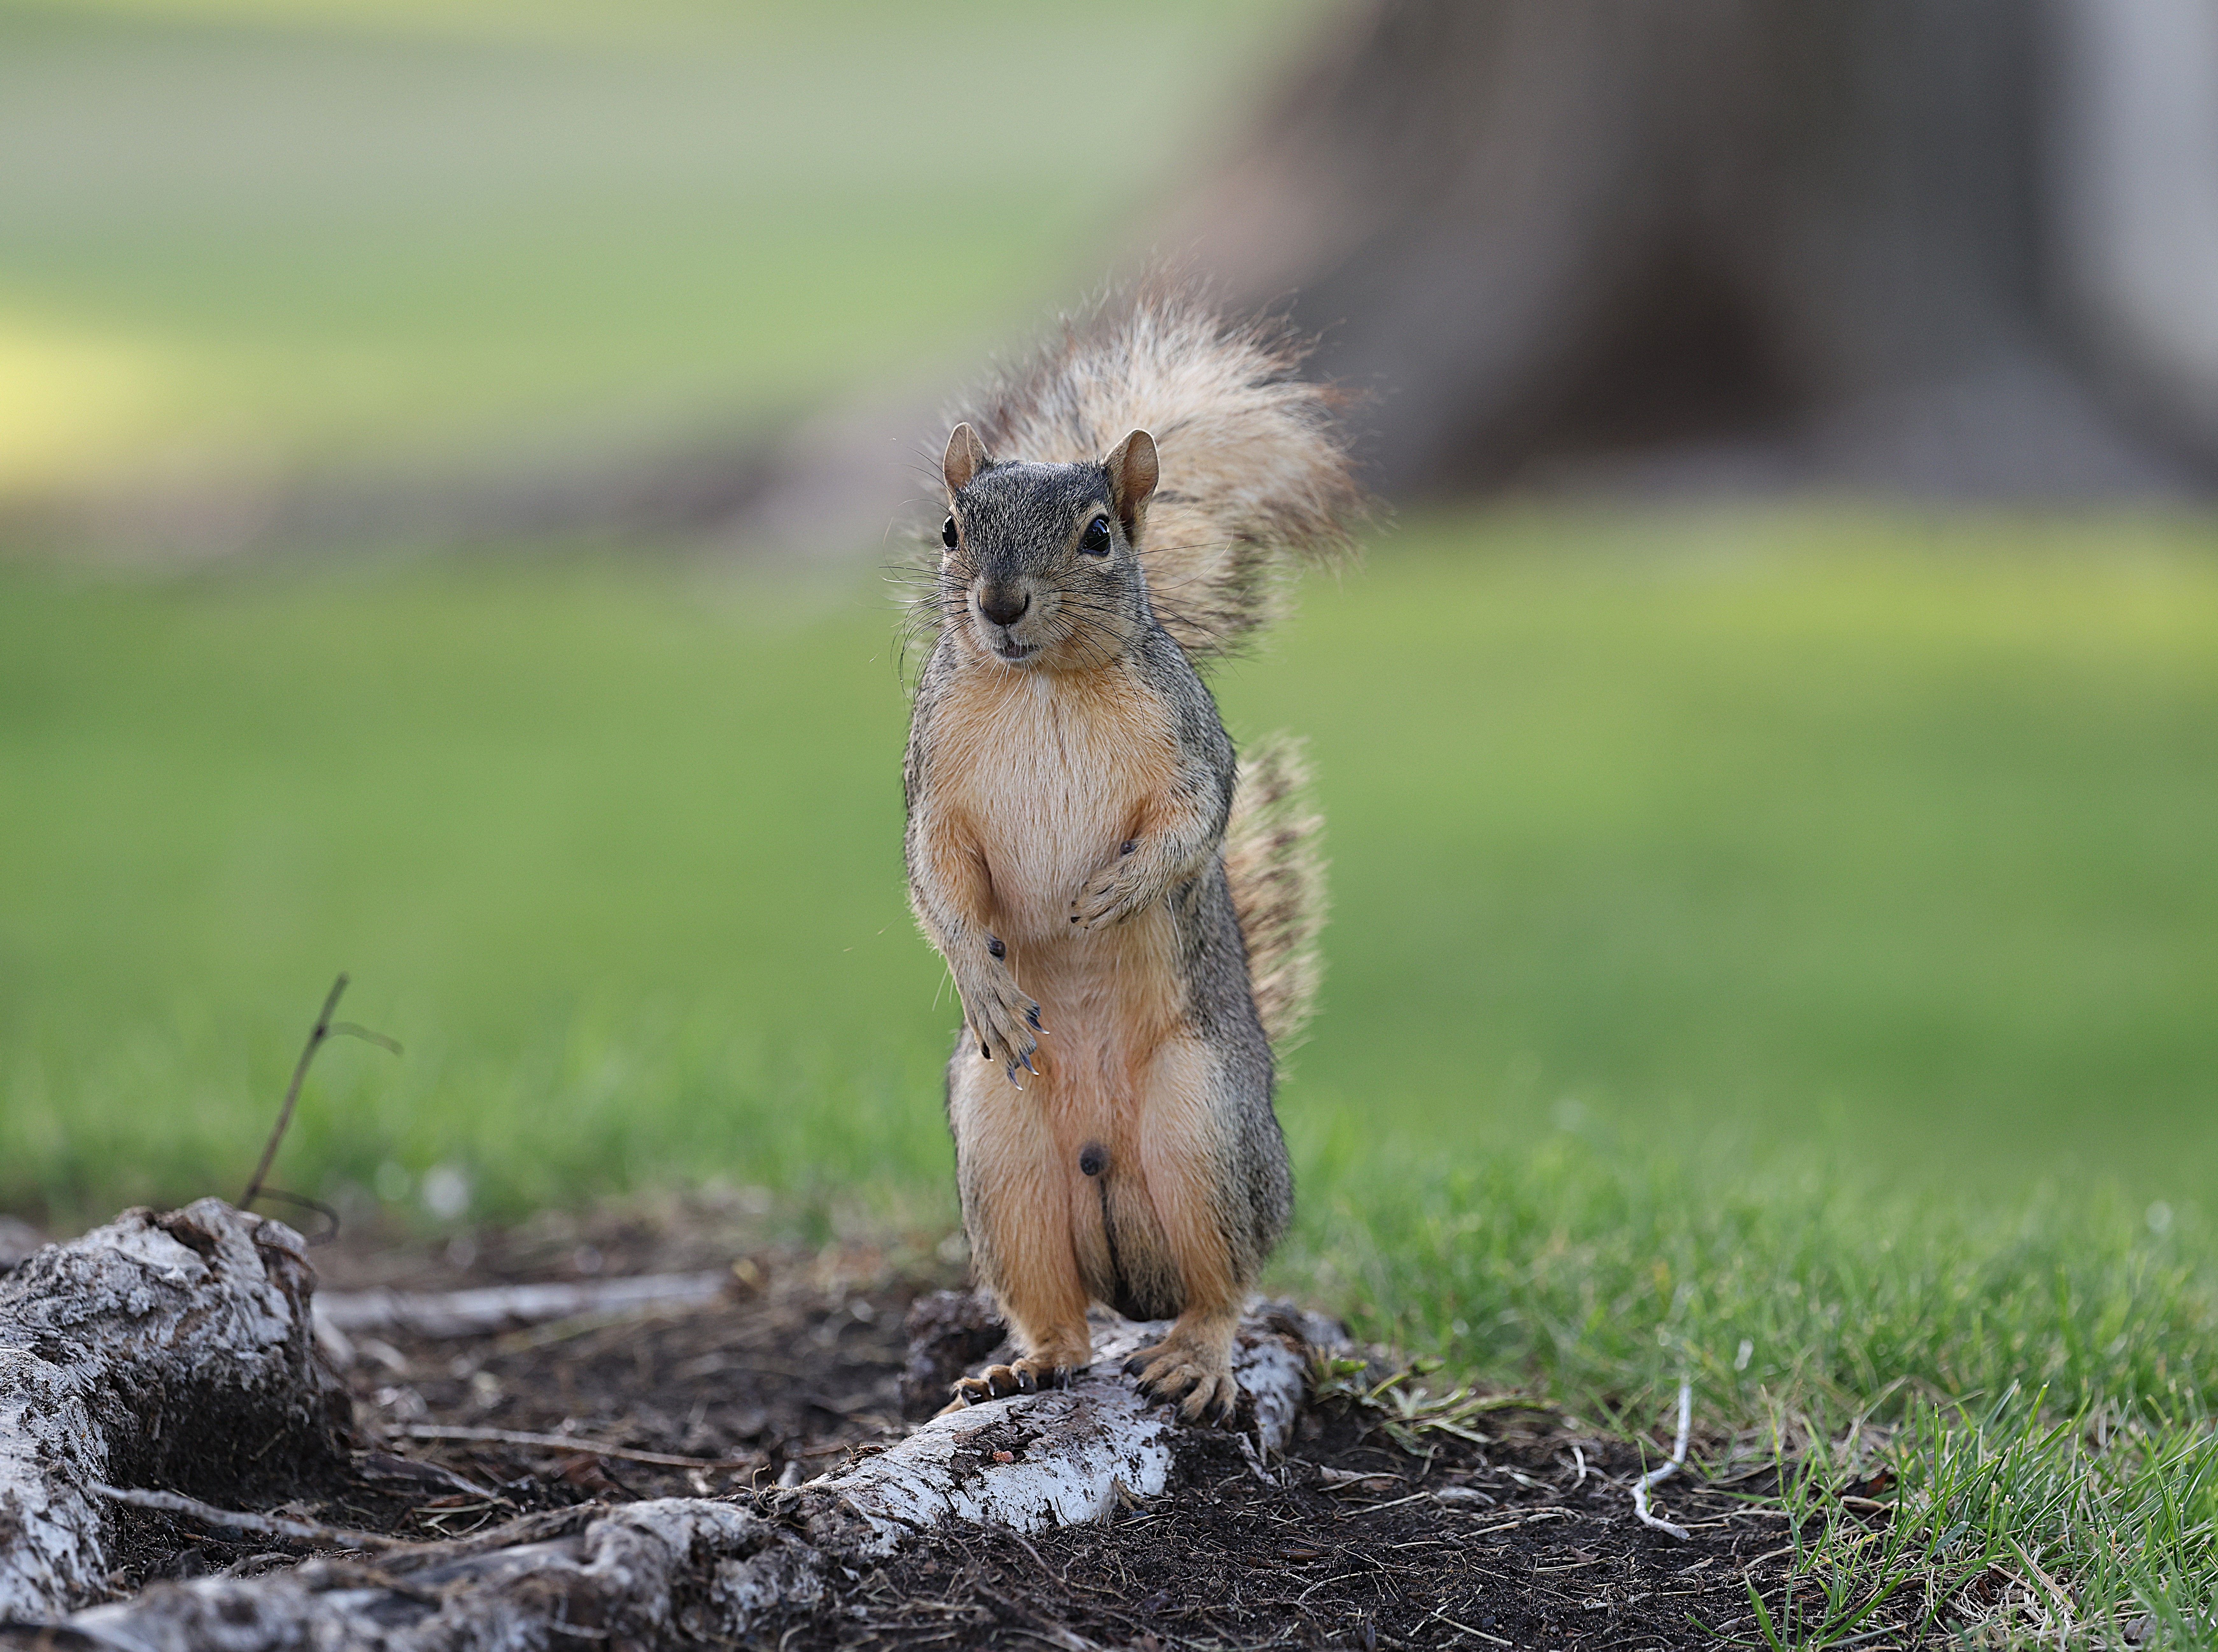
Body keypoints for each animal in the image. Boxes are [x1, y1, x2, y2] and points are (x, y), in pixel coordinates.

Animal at [902, 285, 1360, 1422]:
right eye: (952, 528)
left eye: (1100, 534)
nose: (1000, 602)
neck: (1041, 682)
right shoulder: (934, 786)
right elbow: (937, 879)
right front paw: (983, 975)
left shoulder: (1192, 747)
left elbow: (1196, 821)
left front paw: (1116, 891)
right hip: (999, 1151)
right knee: (1056, 1305)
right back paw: (1029, 1360)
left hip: (1208, 1130)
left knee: (1223, 1283)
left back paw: (1194, 1356)